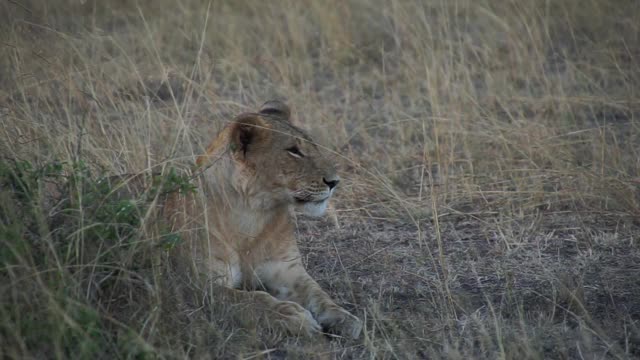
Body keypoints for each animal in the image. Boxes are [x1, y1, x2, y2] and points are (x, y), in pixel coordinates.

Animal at [165, 100, 362, 338]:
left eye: (312, 146)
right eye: (294, 151)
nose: (335, 182)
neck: (252, 214)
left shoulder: (287, 270)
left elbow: (318, 294)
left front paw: (344, 317)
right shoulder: (197, 285)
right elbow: (251, 300)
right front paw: (293, 316)